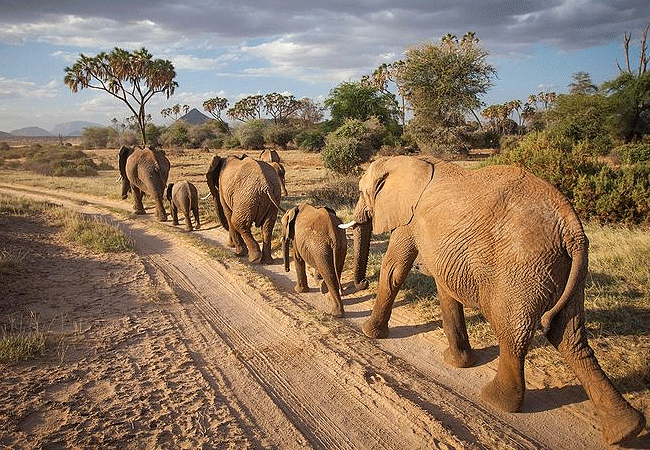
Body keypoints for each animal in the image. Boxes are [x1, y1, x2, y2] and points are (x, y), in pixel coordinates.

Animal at [340, 156, 644, 446]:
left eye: (361, 192)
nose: (361, 284)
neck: (403, 160)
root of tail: (572, 228)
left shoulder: (409, 221)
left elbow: (394, 269)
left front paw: (370, 333)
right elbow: (445, 289)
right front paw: (457, 362)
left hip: (520, 268)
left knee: (512, 332)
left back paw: (495, 400)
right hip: (566, 269)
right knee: (568, 333)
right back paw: (626, 431)